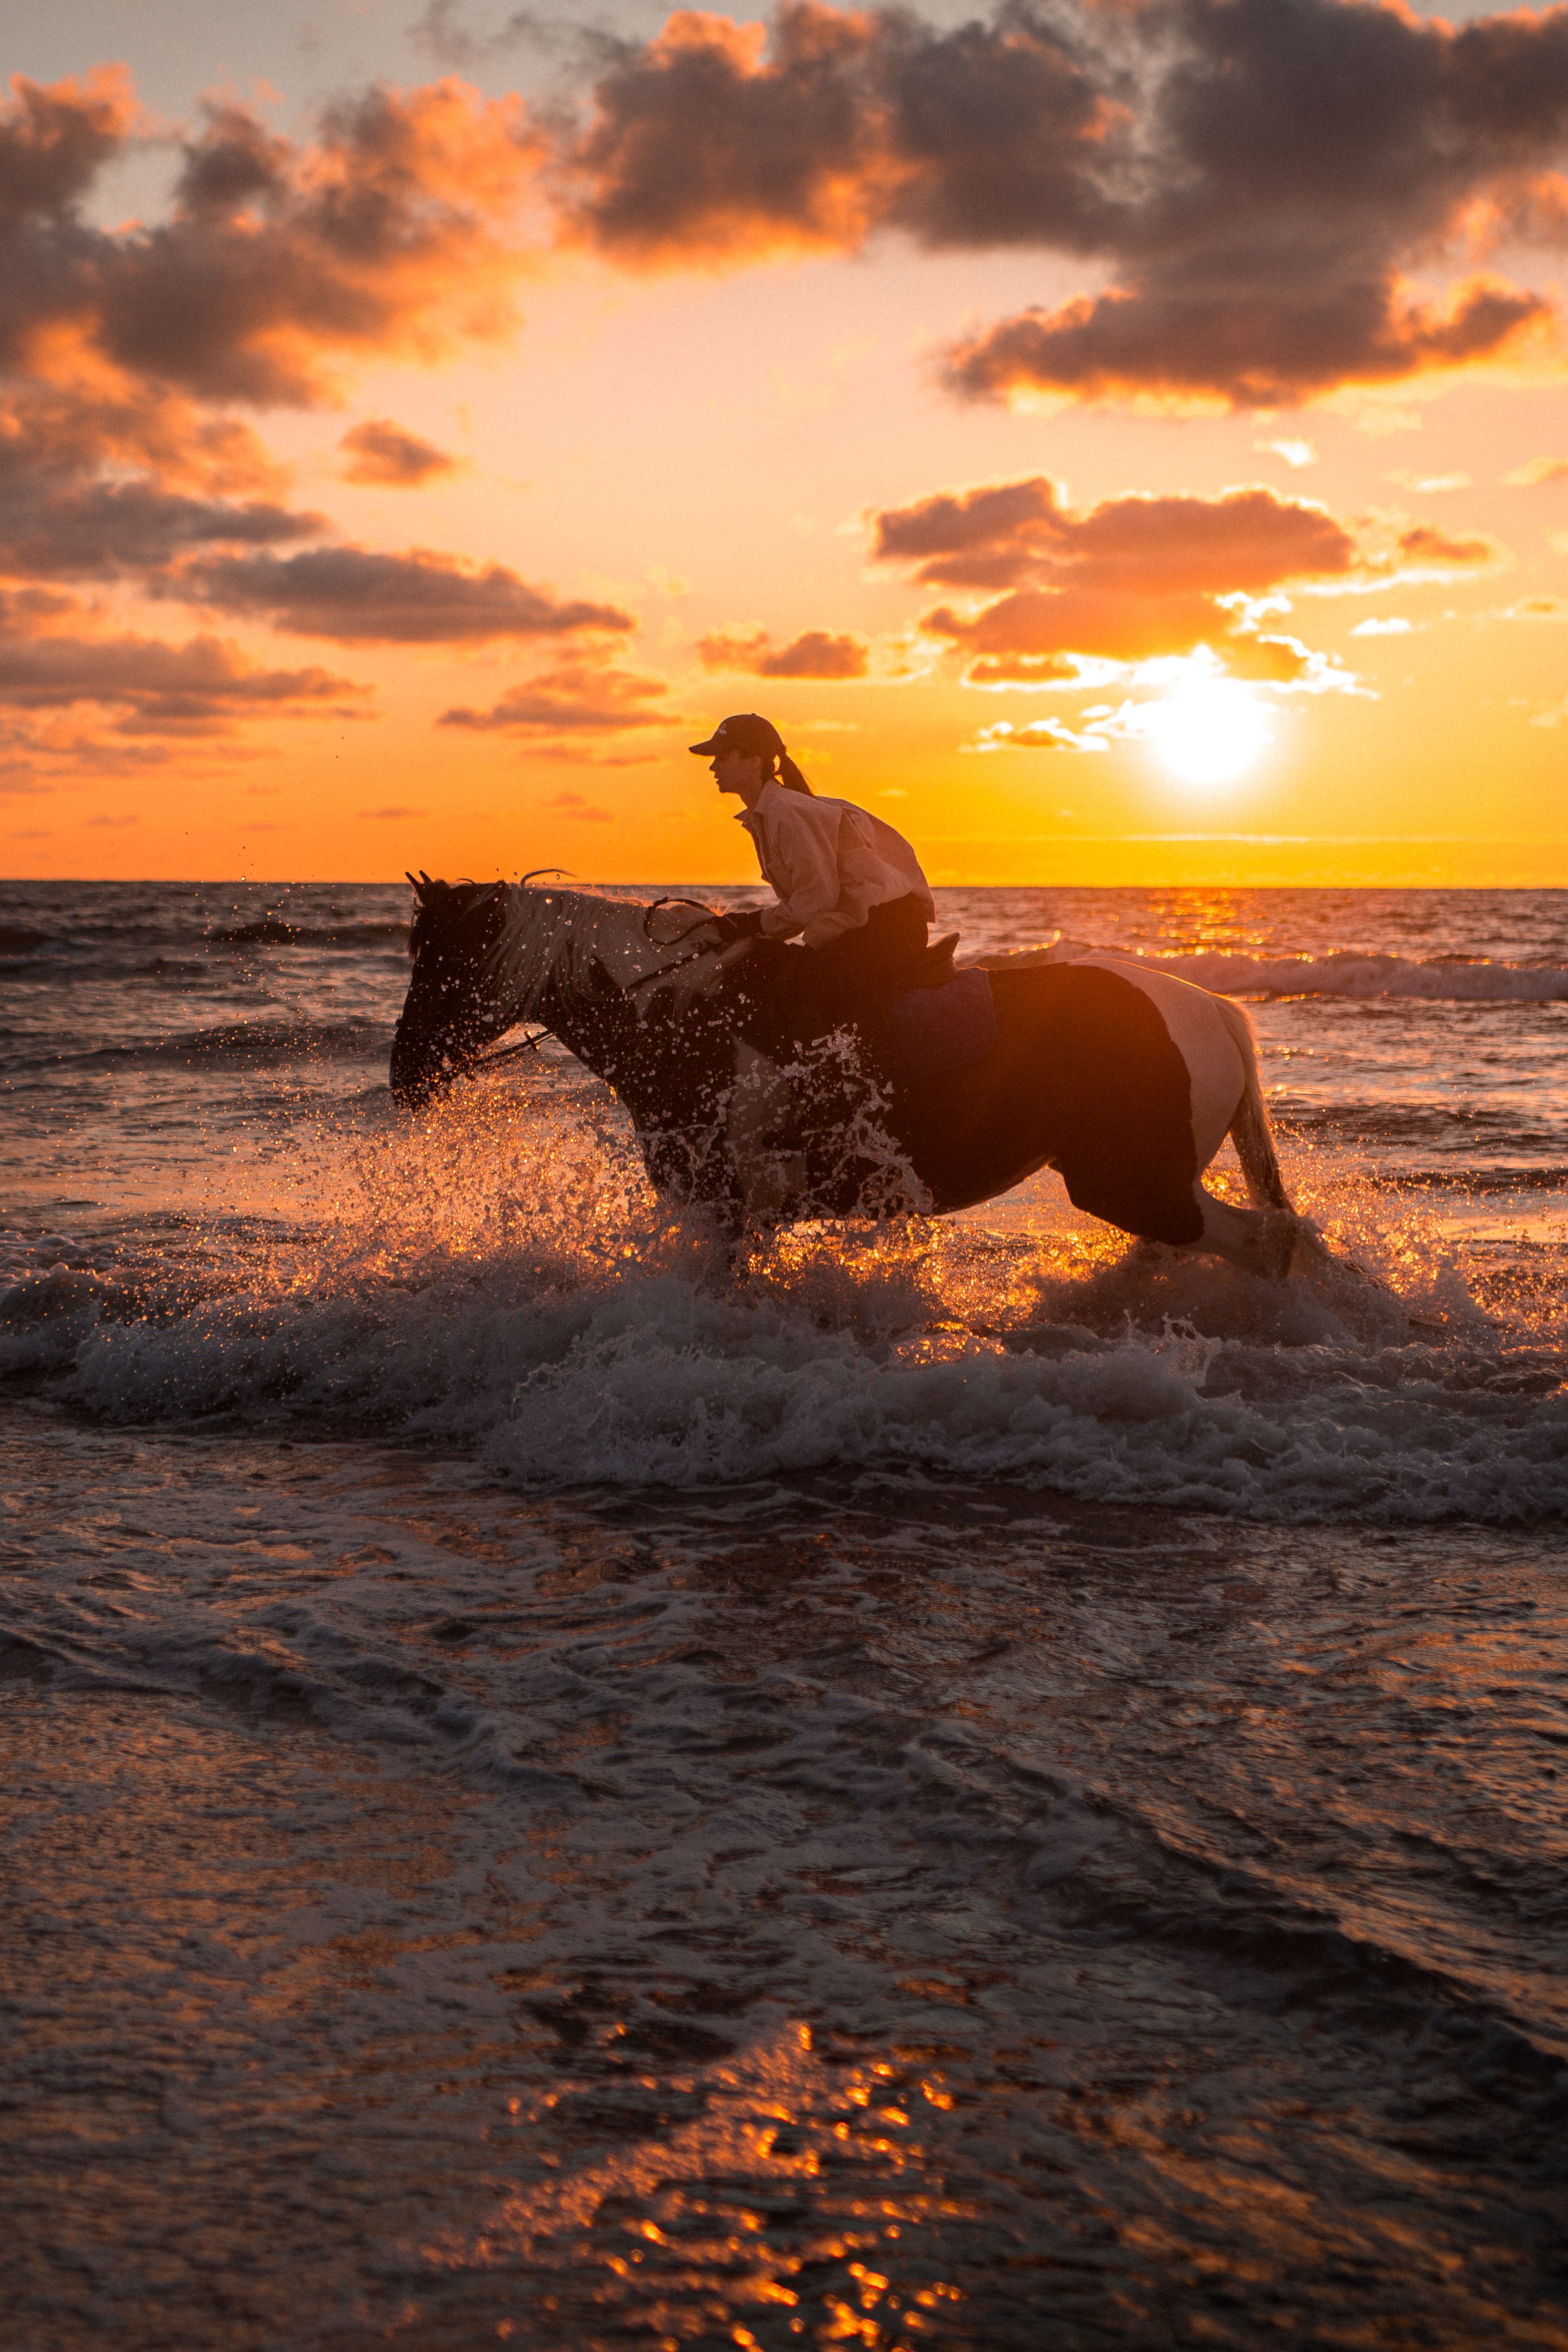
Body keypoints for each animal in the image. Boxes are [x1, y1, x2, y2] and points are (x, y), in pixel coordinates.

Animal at [388, 876, 1310, 1280]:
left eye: (447, 961)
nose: (402, 1073)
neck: (681, 1019)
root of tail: (1209, 1010)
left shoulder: (726, 1209)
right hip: (1145, 1188)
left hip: (1130, 1185)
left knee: (1262, 1244)